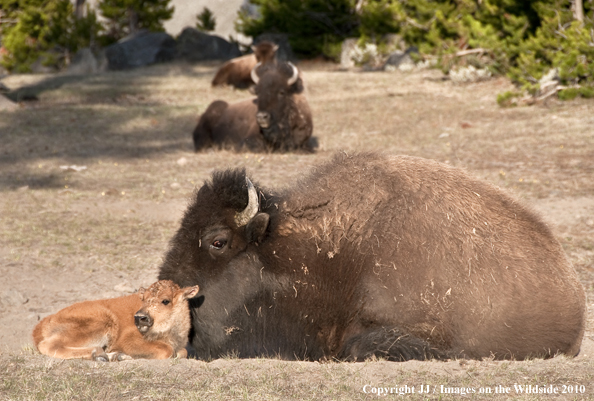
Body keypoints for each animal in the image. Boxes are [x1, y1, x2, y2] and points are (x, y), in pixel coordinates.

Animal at [31, 280, 199, 360]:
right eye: (143, 299)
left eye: (165, 301)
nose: (140, 317)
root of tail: (44, 322)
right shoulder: (128, 339)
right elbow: (167, 350)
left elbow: (182, 352)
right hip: (100, 323)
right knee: (48, 345)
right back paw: (98, 354)